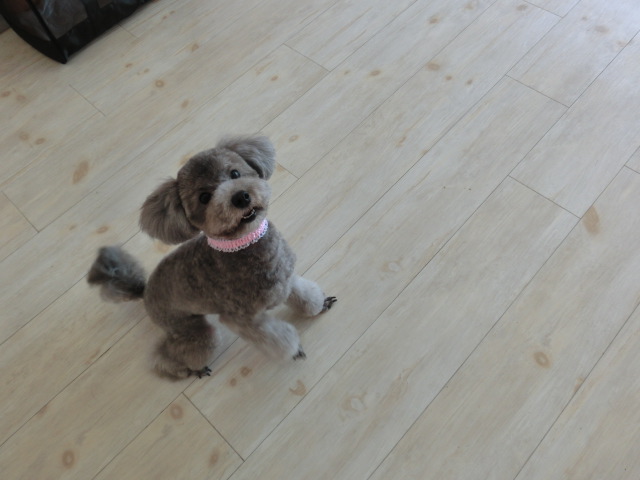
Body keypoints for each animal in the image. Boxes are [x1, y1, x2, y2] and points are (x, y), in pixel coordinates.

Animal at [87, 135, 336, 379]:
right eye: (204, 197)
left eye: (234, 173)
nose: (241, 197)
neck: (242, 245)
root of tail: (145, 291)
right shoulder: (242, 319)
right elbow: (276, 338)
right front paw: (294, 350)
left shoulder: (287, 278)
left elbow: (305, 294)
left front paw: (319, 304)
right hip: (192, 328)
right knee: (168, 355)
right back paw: (187, 369)